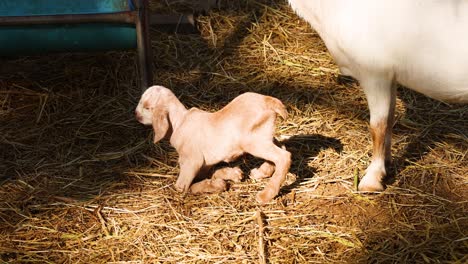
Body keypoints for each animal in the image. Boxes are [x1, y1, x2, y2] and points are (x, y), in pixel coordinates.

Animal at [288, 0, 468, 192]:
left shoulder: (375, 74)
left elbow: (377, 126)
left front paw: (372, 179)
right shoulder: (390, 77)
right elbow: (389, 119)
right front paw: (386, 164)